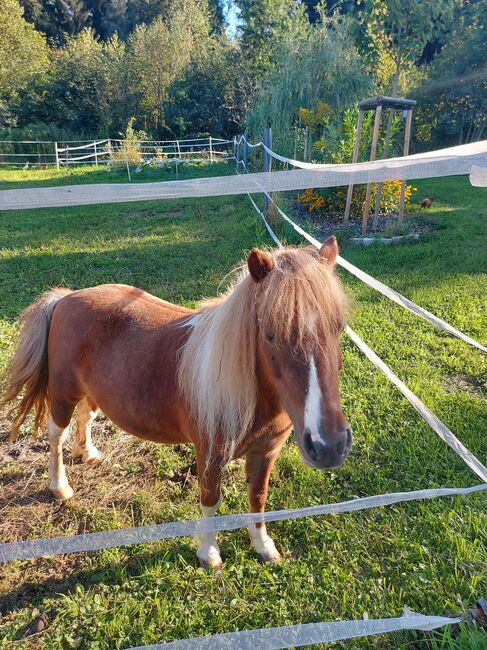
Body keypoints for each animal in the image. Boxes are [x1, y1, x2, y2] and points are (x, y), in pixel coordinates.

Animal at [0, 237, 350, 568]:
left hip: (91, 392)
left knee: (86, 416)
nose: (329, 446)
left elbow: (258, 497)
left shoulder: (266, 452)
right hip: (63, 394)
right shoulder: (210, 454)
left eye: (338, 327)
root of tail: (65, 298)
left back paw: (88, 454)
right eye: (270, 334)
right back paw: (60, 487)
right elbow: (210, 499)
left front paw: (263, 546)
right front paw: (209, 554)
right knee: (56, 434)